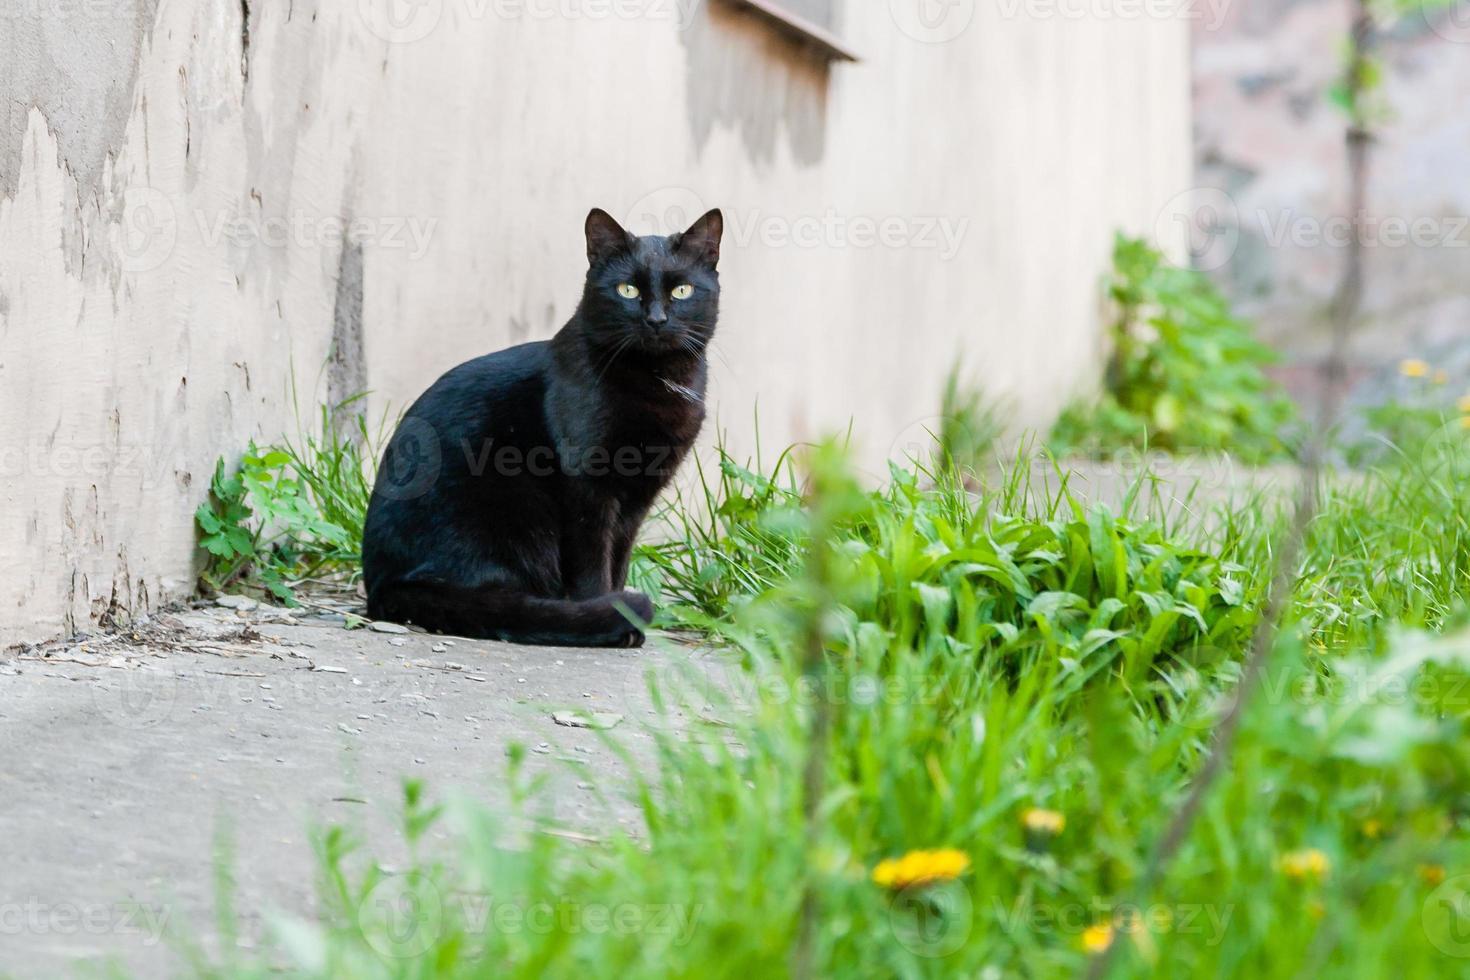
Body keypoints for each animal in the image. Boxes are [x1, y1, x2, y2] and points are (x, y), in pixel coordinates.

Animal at [358, 205, 720, 646]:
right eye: (627, 290)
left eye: (682, 291)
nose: (656, 319)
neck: (657, 379)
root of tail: (384, 586)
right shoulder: (588, 488)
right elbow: (593, 565)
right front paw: (609, 612)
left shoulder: (637, 499)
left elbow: (619, 558)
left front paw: (621, 613)